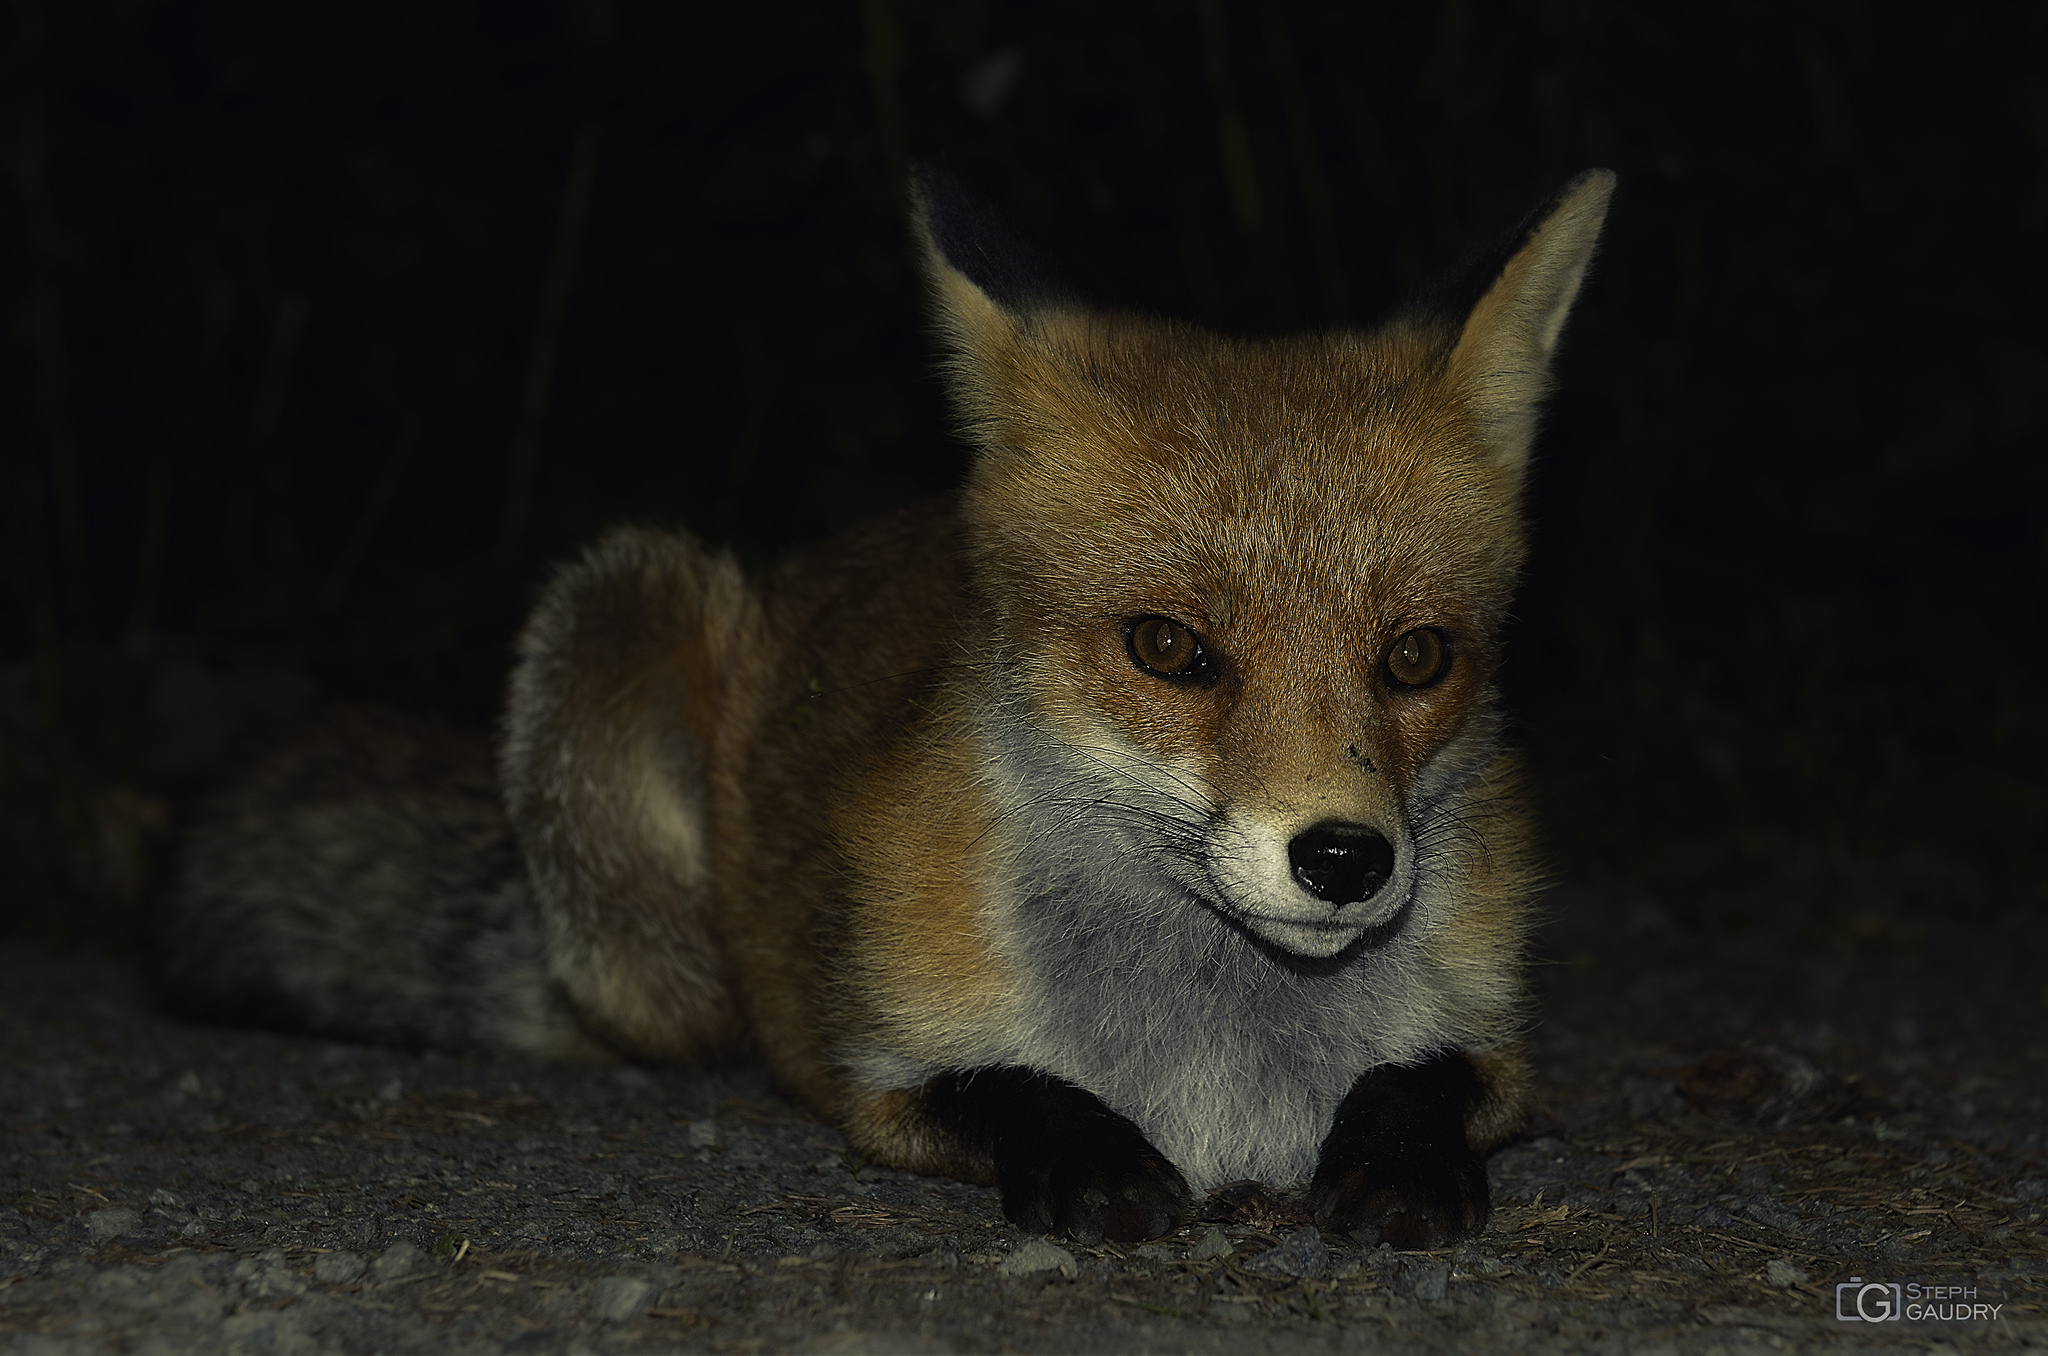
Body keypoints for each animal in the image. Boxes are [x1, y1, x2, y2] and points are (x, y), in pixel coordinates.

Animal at [163, 164, 1613, 1245]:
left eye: (1416, 659)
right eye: (1168, 648)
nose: (1344, 860)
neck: (1225, 1050)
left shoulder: (1504, 1055)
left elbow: (1423, 1080)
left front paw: (1397, 1161)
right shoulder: (882, 1079)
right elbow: (1012, 1087)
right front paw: (1090, 1161)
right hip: (621, 643)